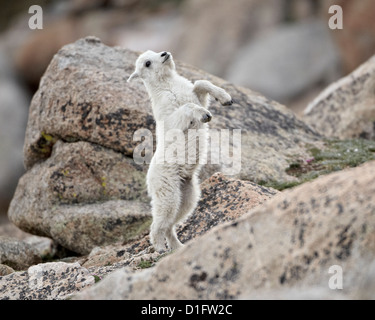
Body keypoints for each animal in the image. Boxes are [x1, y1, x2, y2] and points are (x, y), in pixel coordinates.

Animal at [129, 50, 235, 251]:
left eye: (154, 53)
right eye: (147, 63)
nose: (165, 53)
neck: (167, 83)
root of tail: (149, 181)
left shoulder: (192, 93)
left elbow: (200, 85)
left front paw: (225, 100)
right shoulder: (167, 113)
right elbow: (184, 111)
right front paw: (204, 114)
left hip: (188, 192)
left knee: (174, 218)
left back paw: (178, 246)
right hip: (167, 187)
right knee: (161, 218)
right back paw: (160, 247)